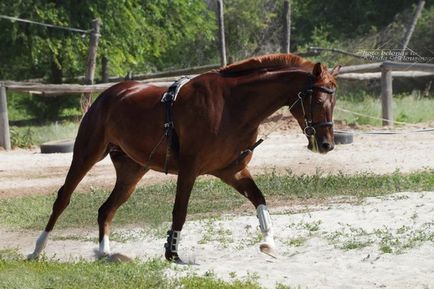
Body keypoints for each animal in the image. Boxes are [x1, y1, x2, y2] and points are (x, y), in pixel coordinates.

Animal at [30, 53, 340, 260]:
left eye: (333, 101)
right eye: (317, 99)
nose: (326, 144)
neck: (233, 106)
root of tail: (109, 94)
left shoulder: (232, 170)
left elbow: (259, 200)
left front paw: (269, 244)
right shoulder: (190, 170)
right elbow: (180, 211)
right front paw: (172, 253)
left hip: (131, 172)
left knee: (106, 209)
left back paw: (105, 253)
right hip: (87, 154)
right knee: (63, 198)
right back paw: (37, 249)